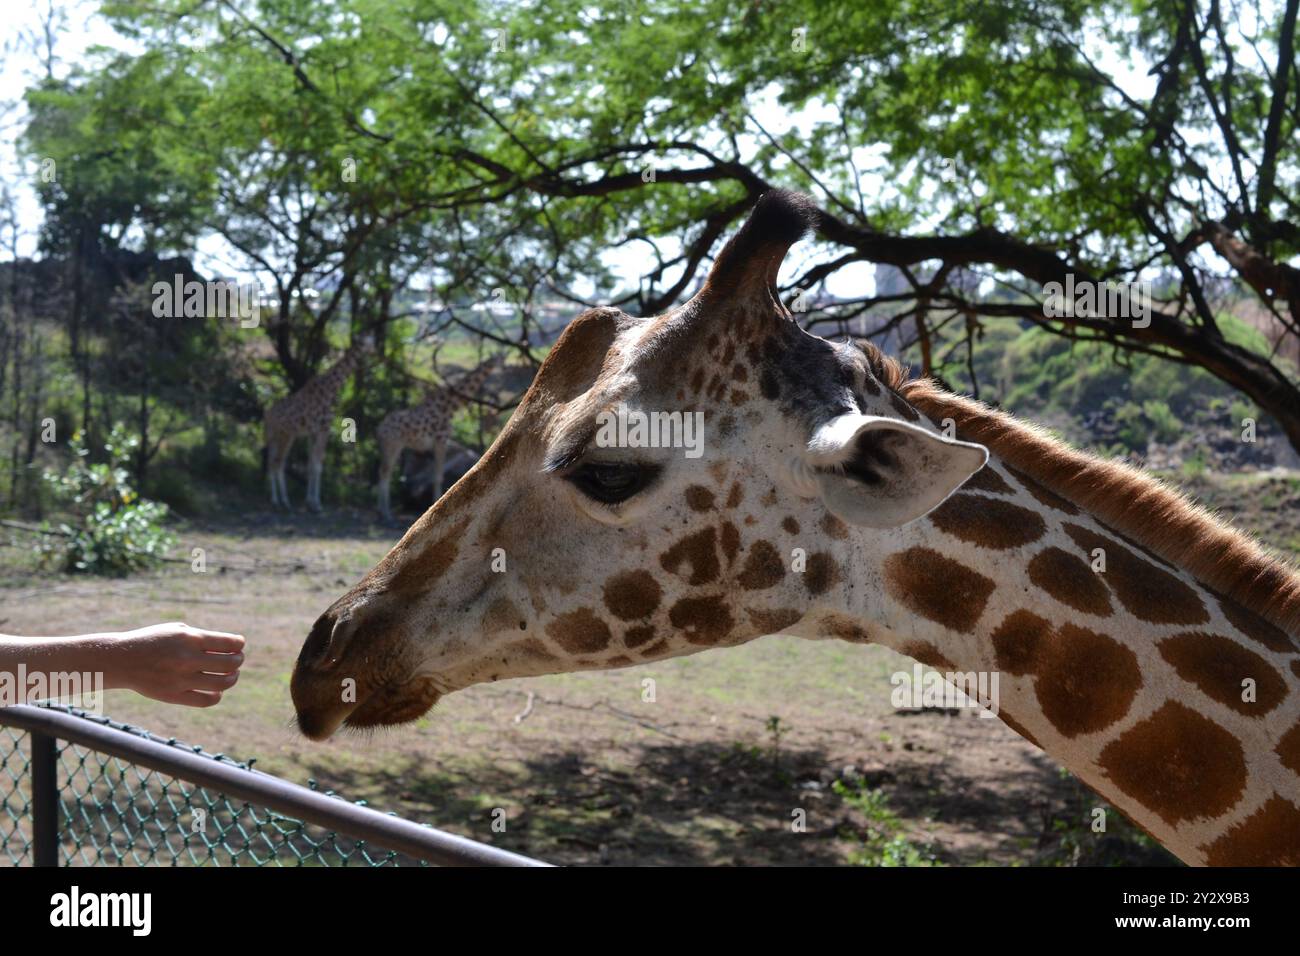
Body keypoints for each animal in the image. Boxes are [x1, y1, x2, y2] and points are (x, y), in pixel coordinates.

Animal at [265, 336, 373, 513]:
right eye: (367, 342)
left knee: (271, 462)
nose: (375, 350)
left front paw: (309, 501)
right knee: (278, 463)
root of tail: (267, 414)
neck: (331, 388)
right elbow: (318, 465)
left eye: (372, 341)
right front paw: (316, 504)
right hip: (286, 435)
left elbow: (311, 464)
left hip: (272, 435)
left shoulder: (312, 432)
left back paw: (274, 499)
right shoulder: (324, 428)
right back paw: (283, 501)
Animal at [375, 353, 503, 521]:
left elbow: (438, 475)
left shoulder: (441, 443)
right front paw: (435, 507)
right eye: (499, 358)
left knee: (383, 473)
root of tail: (380, 429)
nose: (503, 364)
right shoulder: (440, 441)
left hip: (392, 447)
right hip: (393, 445)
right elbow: (438, 476)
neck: (449, 407)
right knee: (385, 473)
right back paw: (386, 514)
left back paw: (383, 511)